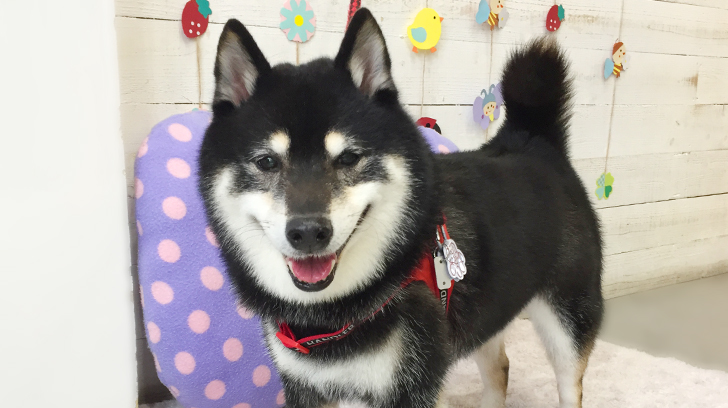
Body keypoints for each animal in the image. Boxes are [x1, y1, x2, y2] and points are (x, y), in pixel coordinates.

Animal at [199, 8, 603, 408]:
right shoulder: (305, 385)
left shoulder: (412, 384)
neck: (328, 316)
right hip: (486, 310)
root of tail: (533, 141)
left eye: (349, 157)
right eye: (266, 162)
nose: (308, 232)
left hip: (567, 320)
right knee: (499, 367)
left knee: (568, 381)